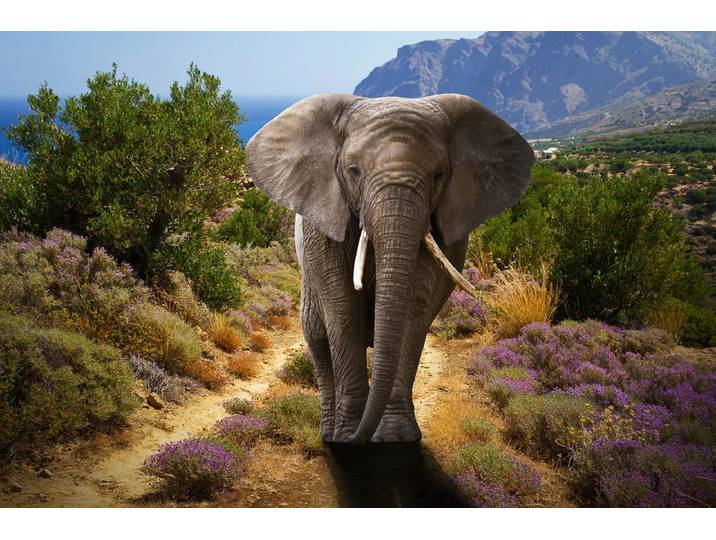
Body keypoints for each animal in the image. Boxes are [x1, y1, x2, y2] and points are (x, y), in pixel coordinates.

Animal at [246, 93, 534, 444]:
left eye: (439, 175)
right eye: (353, 170)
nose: (357, 439)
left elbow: (414, 308)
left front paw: (396, 438)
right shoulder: (323, 222)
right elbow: (343, 310)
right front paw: (347, 436)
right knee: (317, 337)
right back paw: (329, 434)